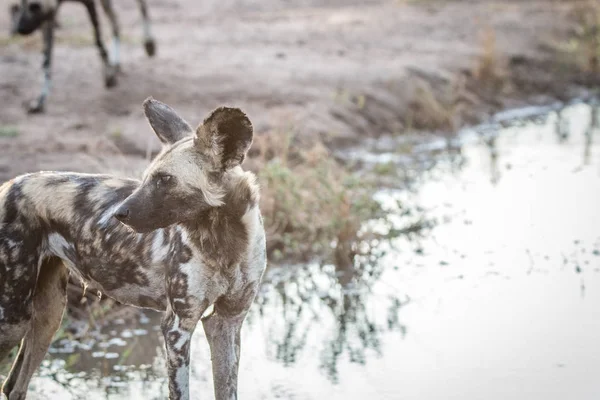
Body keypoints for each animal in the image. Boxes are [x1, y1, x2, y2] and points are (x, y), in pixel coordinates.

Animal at [0, 97, 268, 400]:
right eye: (147, 177)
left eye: (165, 179)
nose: (119, 214)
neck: (225, 242)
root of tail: (10, 184)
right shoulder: (177, 328)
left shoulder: (227, 323)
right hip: (13, 319)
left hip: (48, 317)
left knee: (14, 386)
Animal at [8, 0, 157, 112]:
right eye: (19, 6)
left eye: (34, 6)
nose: (20, 29)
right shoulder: (48, 18)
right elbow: (46, 63)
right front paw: (40, 100)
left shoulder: (89, 4)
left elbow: (98, 41)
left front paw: (108, 74)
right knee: (115, 22)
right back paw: (116, 64)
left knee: (142, 7)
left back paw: (149, 43)